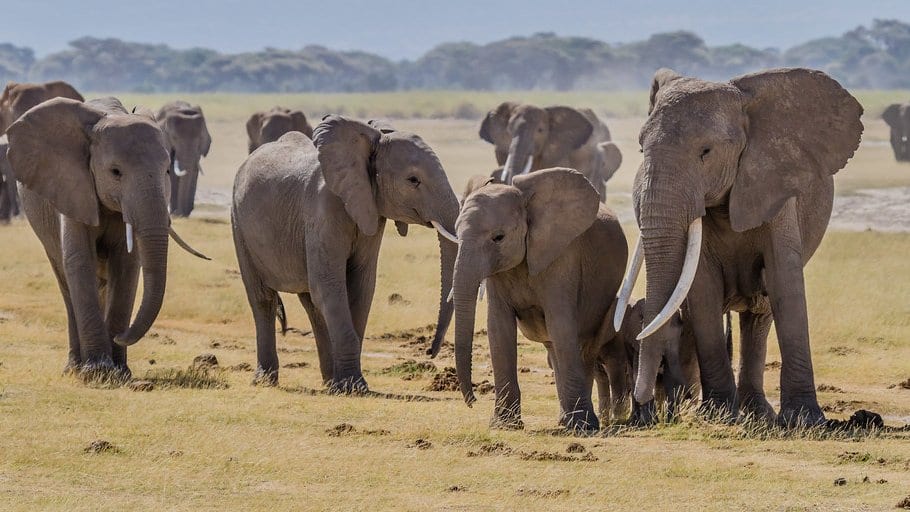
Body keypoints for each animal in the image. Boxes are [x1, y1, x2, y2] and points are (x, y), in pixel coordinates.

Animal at [6, 97, 208, 378]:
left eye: (167, 171)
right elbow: (80, 260)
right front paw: (98, 371)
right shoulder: (73, 187)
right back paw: (74, 368)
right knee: (66, 281)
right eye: (115, 172)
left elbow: (127, 265)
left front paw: (119, 372)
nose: (121, 336)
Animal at [232, 116, 460, 390]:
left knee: (312, 304)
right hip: (239, 224)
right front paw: (354, 387)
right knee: (263, 299)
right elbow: (329, 286)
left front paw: (347, 384)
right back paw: (266, 381)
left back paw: (329, 381)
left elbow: (360, 288)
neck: (371, 140)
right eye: (413, 180)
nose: (429, 352)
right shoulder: (322, 209)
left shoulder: (371, 210)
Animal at [449, 168, 628, 432]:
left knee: (583, 347)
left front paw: (582, 427)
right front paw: (504, 425)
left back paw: (579, 423)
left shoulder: (562, 258)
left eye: (499, 237)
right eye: (456, 233)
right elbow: (499, 328)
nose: (472, 401)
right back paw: (565, 420)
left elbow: (560, 325)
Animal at [612, 67, 863, 427]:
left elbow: (784, 282)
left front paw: (804, 420)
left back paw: (759, 414)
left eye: (706, 151)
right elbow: (702, 287)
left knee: (759, 313)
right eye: (641, 150)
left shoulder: (776, 189)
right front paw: (717, 416)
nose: (641, 399)